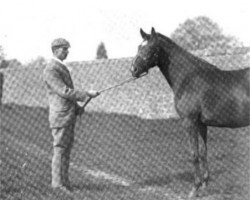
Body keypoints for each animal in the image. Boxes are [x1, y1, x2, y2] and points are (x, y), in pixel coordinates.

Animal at [130, 27, 249, 198]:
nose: (133, 70)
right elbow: (203, 152)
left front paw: (194, 188)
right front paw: (205, 185)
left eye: (151, 48)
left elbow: (194, 154)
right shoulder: (201, 124)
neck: (188, 78)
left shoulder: (189, 122)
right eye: (139, 47)